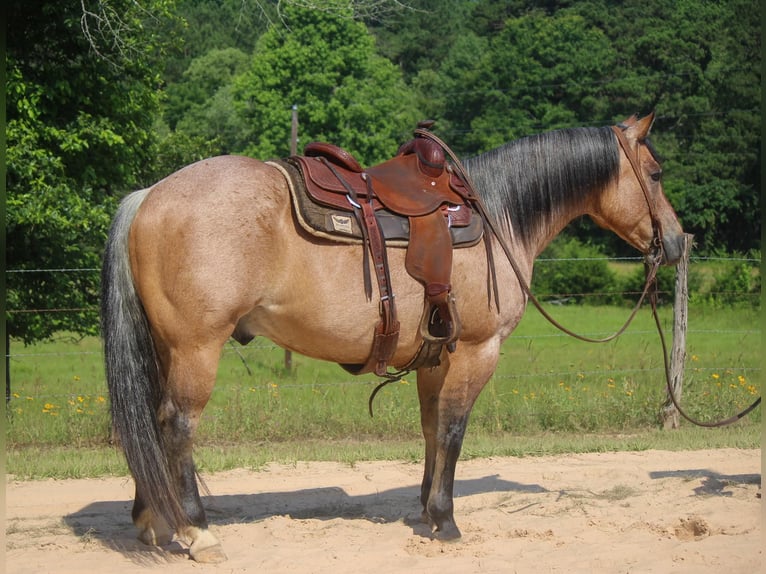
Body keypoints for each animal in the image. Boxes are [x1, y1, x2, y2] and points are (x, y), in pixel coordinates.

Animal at [100, 111, 684, 564]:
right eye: (656, 174)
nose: (678, 242)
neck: (499, 217)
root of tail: (149, 196)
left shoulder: (436, 355)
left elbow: (431, 430)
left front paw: (427, 511)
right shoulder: (478, 350)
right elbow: (454, 430)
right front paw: (447, 521)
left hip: (165, 348)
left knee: (148, 424)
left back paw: (154, 521)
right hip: (197, 349)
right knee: (176, 427)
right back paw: (198, 532)